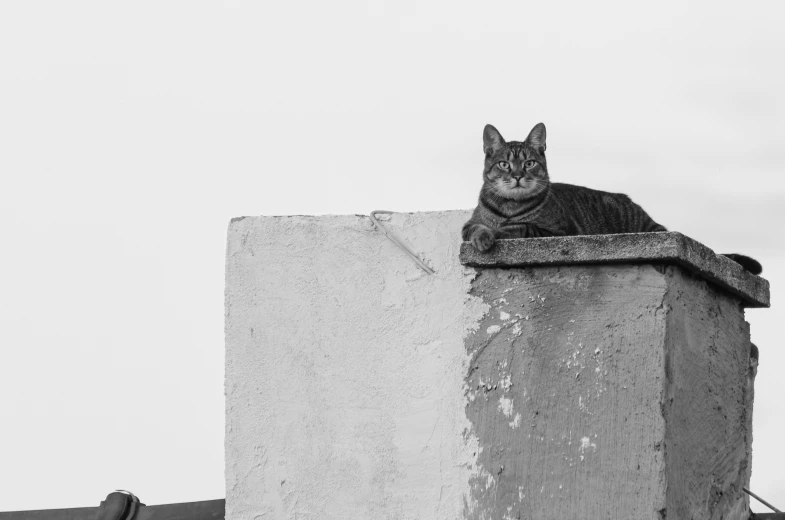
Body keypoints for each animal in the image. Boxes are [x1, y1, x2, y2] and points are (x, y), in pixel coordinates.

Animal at [462, 123, 764, 276]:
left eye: (529, 163)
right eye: (504, 164)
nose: (516, 176)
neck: (509, 205)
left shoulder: (556, 230)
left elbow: (517, 226)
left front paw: (497, 232)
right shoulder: (469, 223)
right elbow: (477, 227)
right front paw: (483, 236)